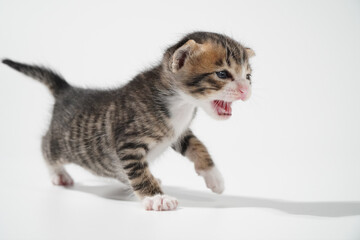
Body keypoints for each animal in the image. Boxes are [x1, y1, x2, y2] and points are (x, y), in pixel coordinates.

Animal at [3, 31, 256, 210]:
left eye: (248, 76)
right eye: (222, 74)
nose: (246, 90)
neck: (181, 102)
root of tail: (67, 90)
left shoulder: (179, 132)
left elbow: (197, 146)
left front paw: (214, 178)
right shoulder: (129, 143)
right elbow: (138, 171)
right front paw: (156, 198)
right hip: (61, 144)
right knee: (45, 145)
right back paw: (59, 174)